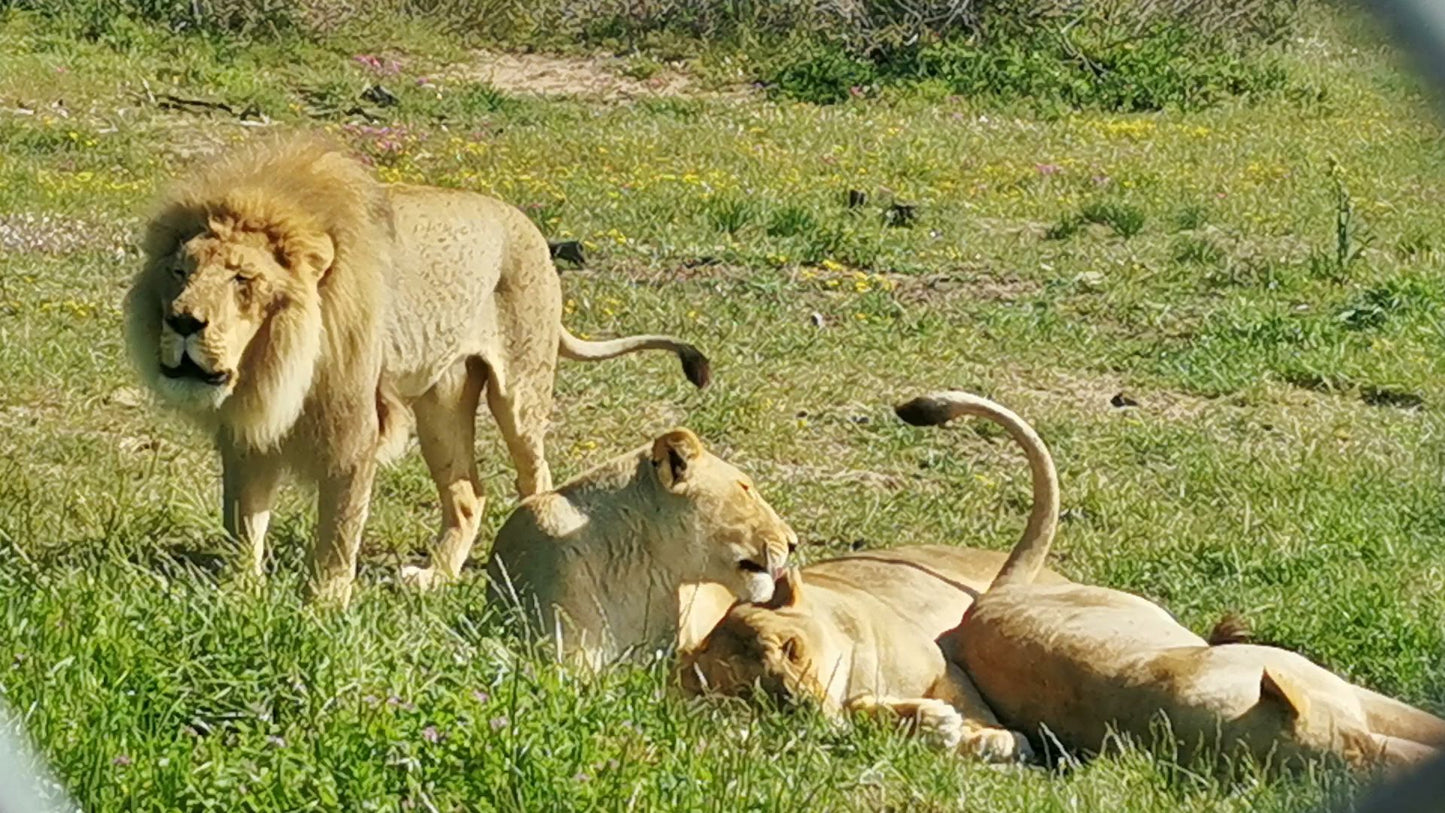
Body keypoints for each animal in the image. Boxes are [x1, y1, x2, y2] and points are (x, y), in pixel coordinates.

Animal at [124, 136, 710, 603]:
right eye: (180, 272)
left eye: (242, 280)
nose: (182, 321)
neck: (272, 367)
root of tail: (530, 228)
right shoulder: (246, 434)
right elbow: (243, 521)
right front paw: (241, 592)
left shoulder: (354, 434)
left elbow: (337, 530)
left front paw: (323, 606)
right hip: (441, 405)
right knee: (469, 494)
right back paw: (436, 577)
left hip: (519, 394)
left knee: (535, 476)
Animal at [676, 395, 1063, 762]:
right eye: (749, 690)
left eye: (792, 648)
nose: (804, 707)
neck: (851, 671)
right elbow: (859, 713)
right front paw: (932, 722)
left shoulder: (945, 666)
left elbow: (974, 707)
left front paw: (991, 737)